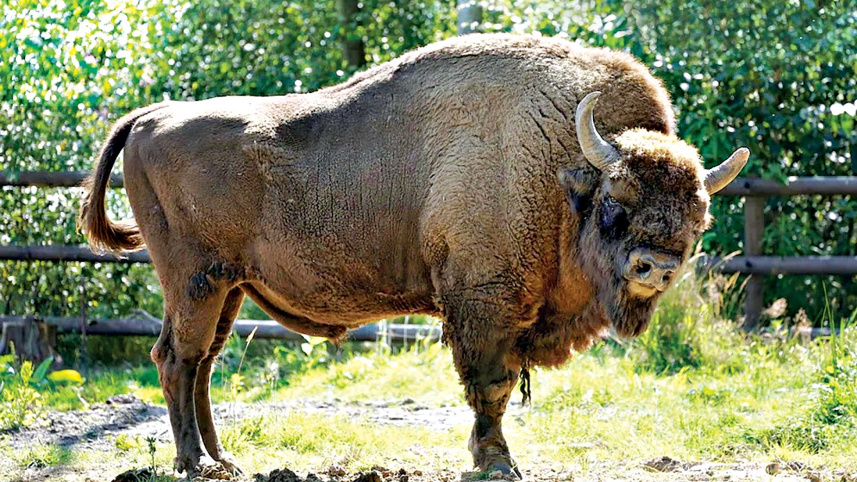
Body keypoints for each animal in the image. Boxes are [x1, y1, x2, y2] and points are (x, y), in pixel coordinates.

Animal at [79, 34, 747, 479]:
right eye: (616, 202)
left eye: (699, 218)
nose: (655, 266)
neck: (561, 172)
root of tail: (153, 116)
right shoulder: (484, 302)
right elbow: (492, 384)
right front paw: (496, 462)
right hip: (195, 280)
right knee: (176, 358)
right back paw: (194, 463)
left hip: (228, 288)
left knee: (202, 364)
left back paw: (225, 458)